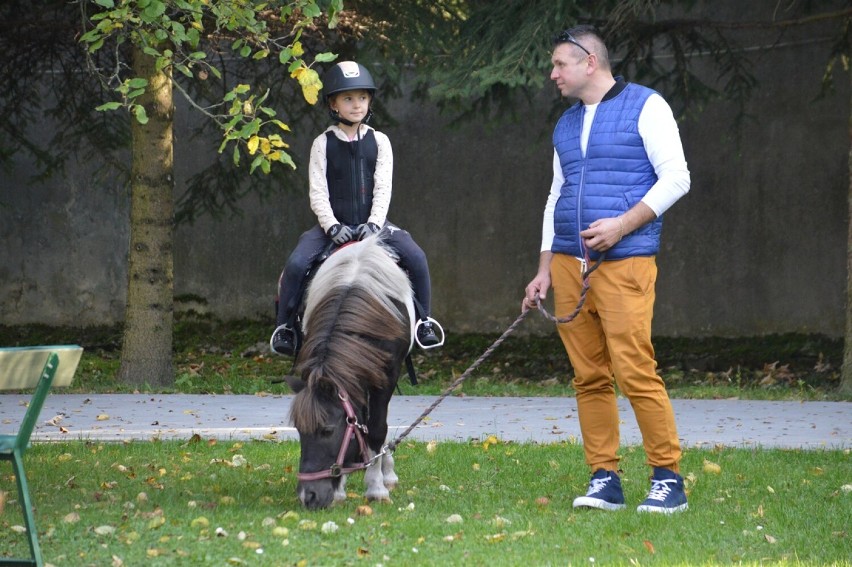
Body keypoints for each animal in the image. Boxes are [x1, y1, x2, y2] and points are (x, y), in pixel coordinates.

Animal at [284, 235, 414, 510]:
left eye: (327, 430)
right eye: (299, 430)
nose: (308, 497)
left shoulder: (385, 378)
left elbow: (376, 428)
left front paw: (376, 488)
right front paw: (341, 488)